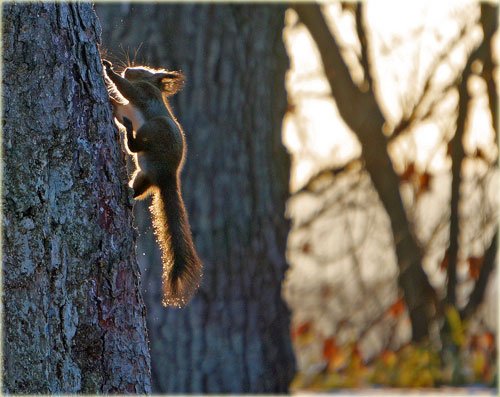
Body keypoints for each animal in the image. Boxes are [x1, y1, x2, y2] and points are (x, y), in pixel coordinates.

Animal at [102, 59, 202, 306]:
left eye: (143, 70)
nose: (128, 69)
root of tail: (167, 175)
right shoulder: (125, 107)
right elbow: (118, 106)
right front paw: (110, 100)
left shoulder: (142, 93)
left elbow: (125, 89)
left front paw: (107, 69)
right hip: (143, 174)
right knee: (138, 186)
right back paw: (128, 191)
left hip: (156, 129)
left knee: (136, 146)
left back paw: (130, 133)